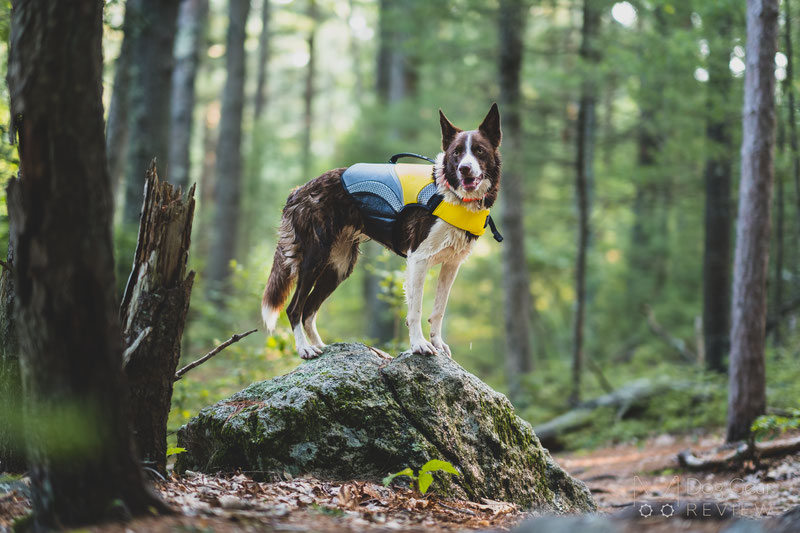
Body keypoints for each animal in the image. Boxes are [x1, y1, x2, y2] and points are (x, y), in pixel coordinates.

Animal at [260, 104, 500, 358]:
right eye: (456, 153)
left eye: (480, 151)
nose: (465, 169)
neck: (452, 195)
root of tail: (299, 190)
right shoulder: (418, 259)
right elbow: (415, 310)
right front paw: (419, 344)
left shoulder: (452, 265)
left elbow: (438, 310)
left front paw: (437, 343)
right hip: (314, 258)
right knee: (294, 308)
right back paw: (305, 349)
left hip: (339, 266)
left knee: (309, 309)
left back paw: (321, 347)